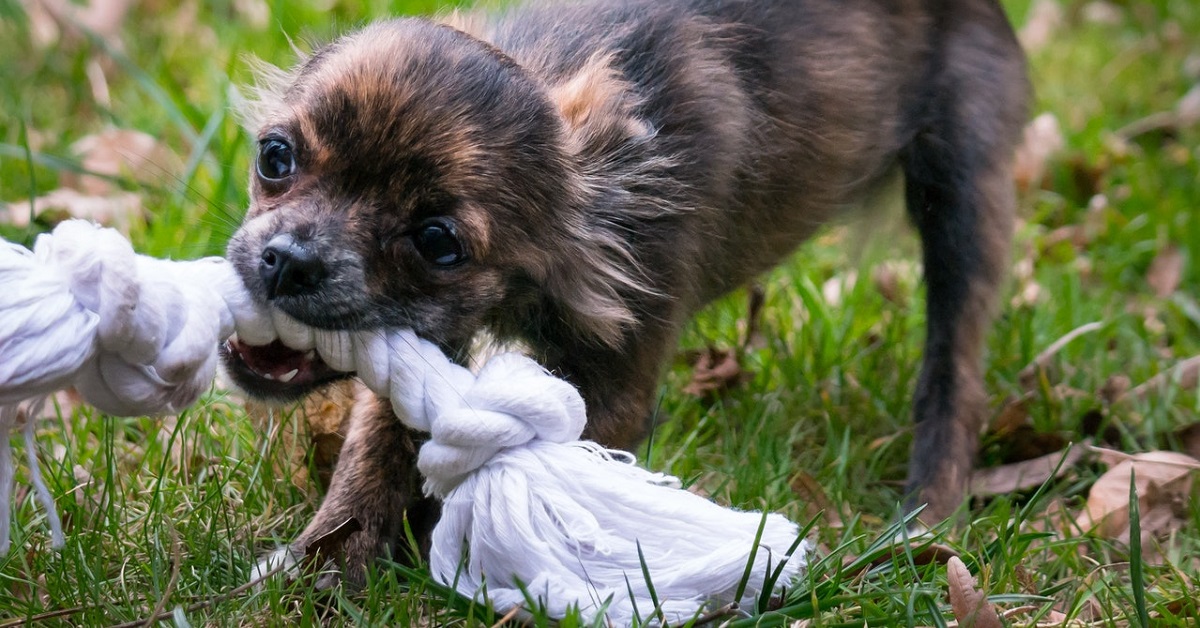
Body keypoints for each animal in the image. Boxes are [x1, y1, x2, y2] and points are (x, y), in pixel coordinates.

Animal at [223, 0, 1032, 583]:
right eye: (275, 157)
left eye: (437, 242)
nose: (288, 262)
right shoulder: (427, 343)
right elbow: (377, 447)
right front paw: (326, 568)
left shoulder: (614, 385)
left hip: (963, 195)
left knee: (955, 373)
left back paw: (926, 519)